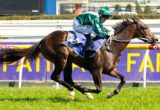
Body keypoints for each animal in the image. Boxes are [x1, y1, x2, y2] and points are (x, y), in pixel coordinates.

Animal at [0, 18, 158, 99]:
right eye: (144, 27)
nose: (156, 39)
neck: (112, 47)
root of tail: (43, 39)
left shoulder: (109, 70)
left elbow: (123, 79)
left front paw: (111, 93)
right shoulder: (96, 70)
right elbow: (98, 89)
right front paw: (87, 90)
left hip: (68, 61)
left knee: (68, 78)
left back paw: (78, 90)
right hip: (61, 58)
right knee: (56, 77)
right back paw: (74, 91)